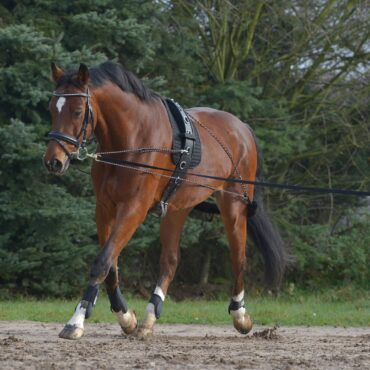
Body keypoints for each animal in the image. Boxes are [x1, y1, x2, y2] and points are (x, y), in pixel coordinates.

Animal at [42, 61, 286, 342]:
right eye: (52, 108)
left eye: (78, 111)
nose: (54, 161)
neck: (132, 139)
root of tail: (243, 128)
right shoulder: (104, 209)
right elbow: (111, 264)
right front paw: (126, 317)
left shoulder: (133, 209)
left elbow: (102, 262)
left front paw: (77, 320)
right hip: (177, 208)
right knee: (170, 261)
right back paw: (150, 316)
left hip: (233, 206)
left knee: (238, 257)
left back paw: (240, 315)